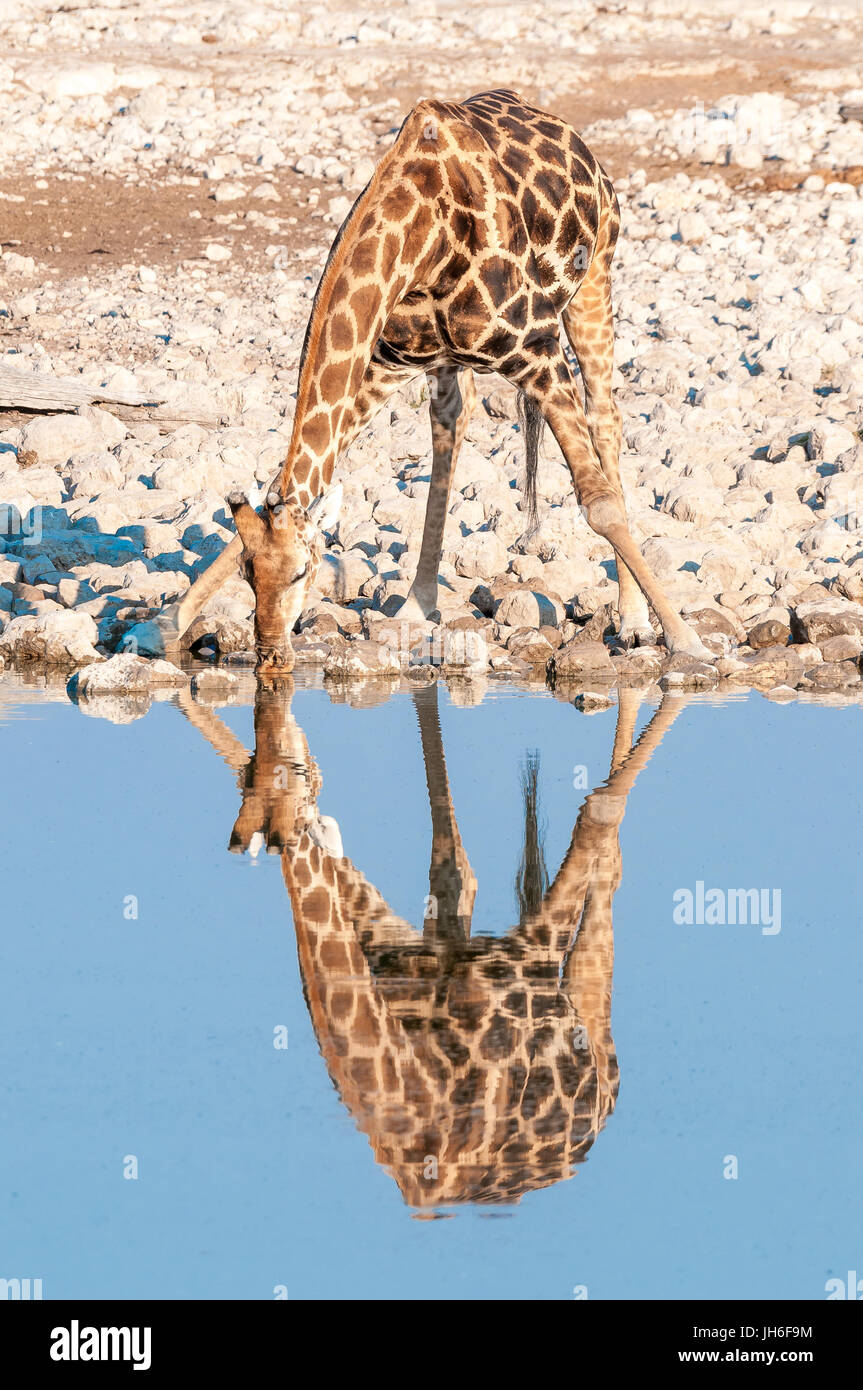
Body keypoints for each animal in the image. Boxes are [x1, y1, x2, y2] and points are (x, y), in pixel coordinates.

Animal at [168, 88, 711, 671]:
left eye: (300, 571)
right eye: (249, 576)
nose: (270, 655)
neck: (420, 243)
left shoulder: (538, 353)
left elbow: (599, 503)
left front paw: (688, 642)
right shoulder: (384, 363)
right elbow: (285, 480)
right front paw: (168, 623)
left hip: (595, 277)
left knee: (605, 418)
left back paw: (633, 623)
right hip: (450, 359)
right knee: (452, 421)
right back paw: (416, 602)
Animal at [179, 681, 686, 1210]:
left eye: (286, 772)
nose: (311, 765)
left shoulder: (534, 951)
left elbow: (594, 810)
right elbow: (452, 866)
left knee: (602, 870)